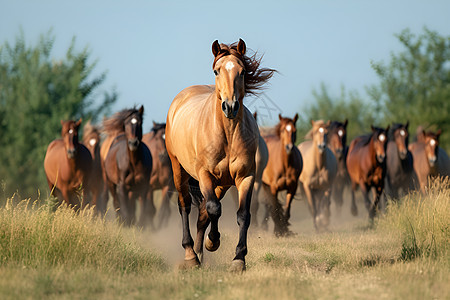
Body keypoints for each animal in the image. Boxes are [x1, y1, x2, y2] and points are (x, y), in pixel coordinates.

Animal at [164, 38, 274, 272]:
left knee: (202, 213)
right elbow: (214, 209)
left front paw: (238, 259)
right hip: (179, 169)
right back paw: (191, 255)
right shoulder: (205, 174)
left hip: (221, 184)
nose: (230, 106)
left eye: (242, 71)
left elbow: (242, 215)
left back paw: (199, 253)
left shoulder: (246, 177)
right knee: (185, 204)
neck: (228, 135)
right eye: (216, 71)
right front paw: (213, 241)